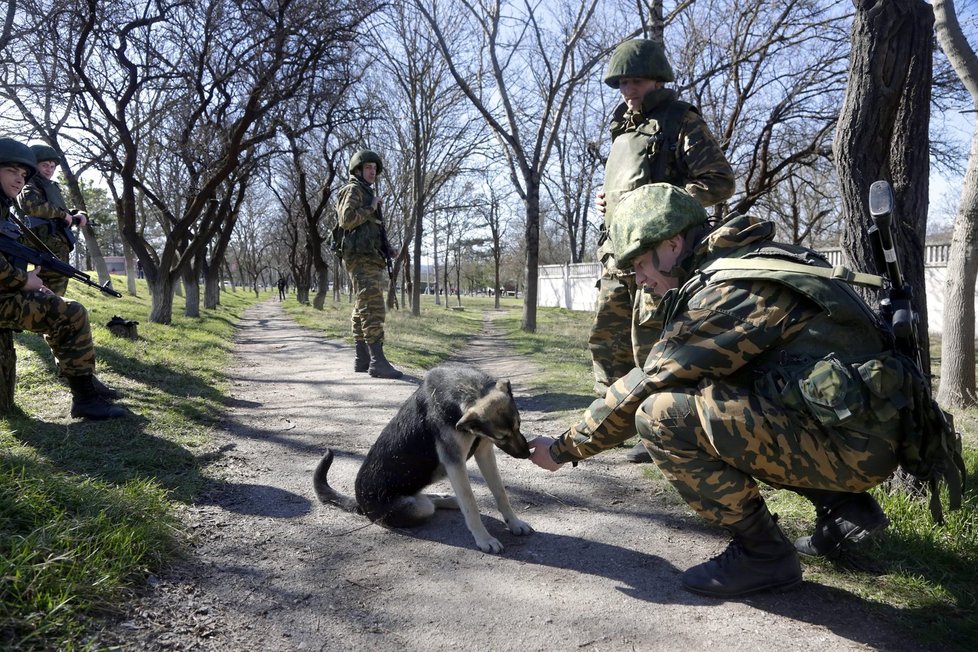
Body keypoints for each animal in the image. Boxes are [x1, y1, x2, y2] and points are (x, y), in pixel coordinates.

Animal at [312, 364, 528, 552]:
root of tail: (360, 504)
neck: (471, 390)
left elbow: (500, 492)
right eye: (502, 437)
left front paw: (515, 522)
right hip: (417, 508)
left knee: (430, 499)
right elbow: (470, 503)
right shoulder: (455, 462)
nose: (527, 453)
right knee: (428, 503)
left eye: (519, 425)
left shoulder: (484, 451)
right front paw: (484, 539)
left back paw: (449, 499)